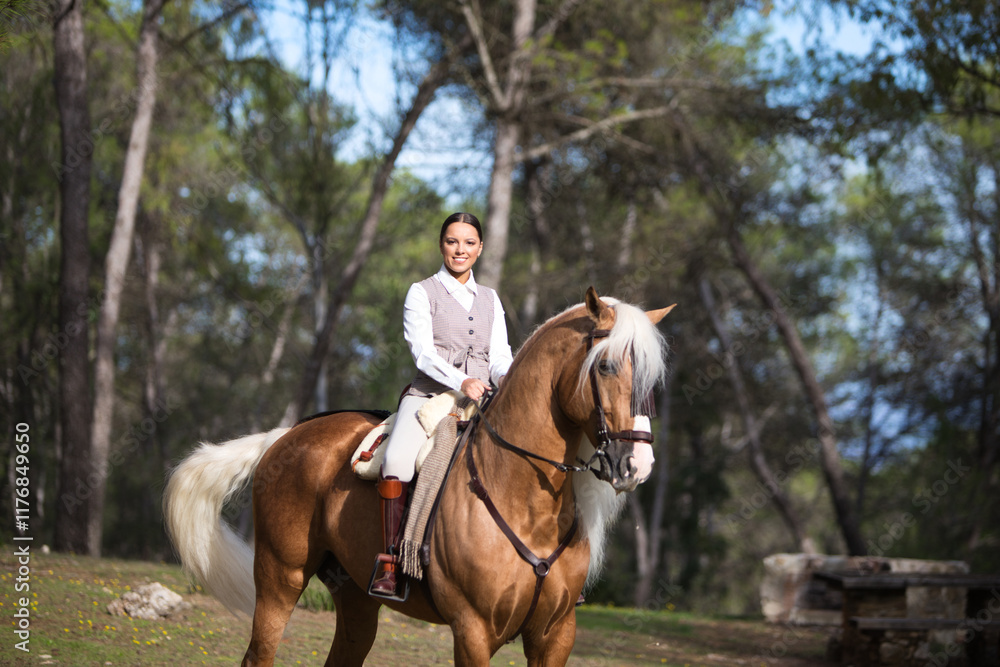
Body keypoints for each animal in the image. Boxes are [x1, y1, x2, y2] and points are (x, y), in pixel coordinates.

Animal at [163, 287, 674, 666]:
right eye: (606, 366)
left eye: (651, 380)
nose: (639, 464)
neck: (525, 501)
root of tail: (287, 435)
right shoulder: (473, 631)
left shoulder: (556, 635)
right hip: (280, 578)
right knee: (259, 653)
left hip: (355, 598)